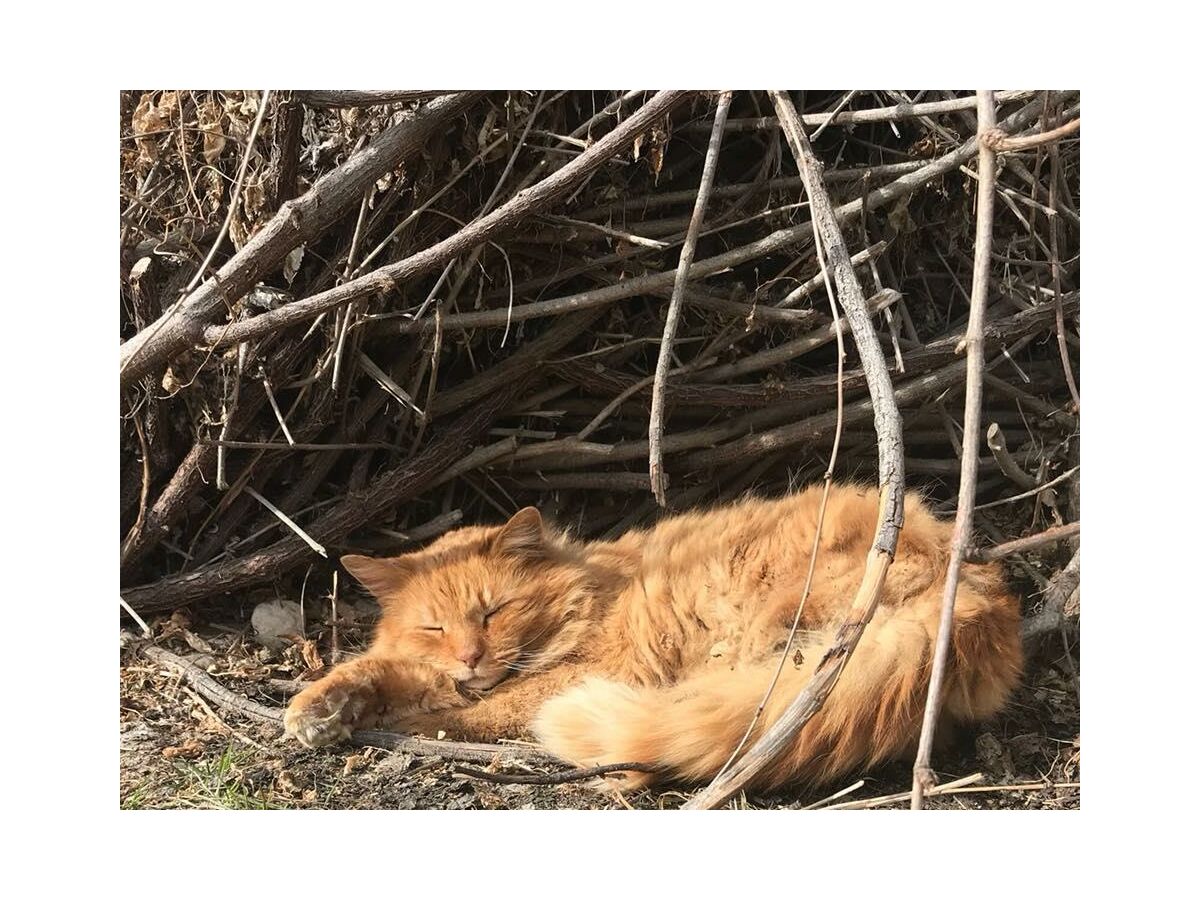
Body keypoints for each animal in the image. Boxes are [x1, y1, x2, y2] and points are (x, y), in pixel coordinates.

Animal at [283, 482, 1022, 792]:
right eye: (435, 626)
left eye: (494, 612)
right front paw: (319, 709)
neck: (590, 588)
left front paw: (405, 719)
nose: (469, 655)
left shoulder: (577, 673)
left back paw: (625, 772)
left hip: (764, 633)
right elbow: (377, 673)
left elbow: (477, 710)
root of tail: (974, 589)